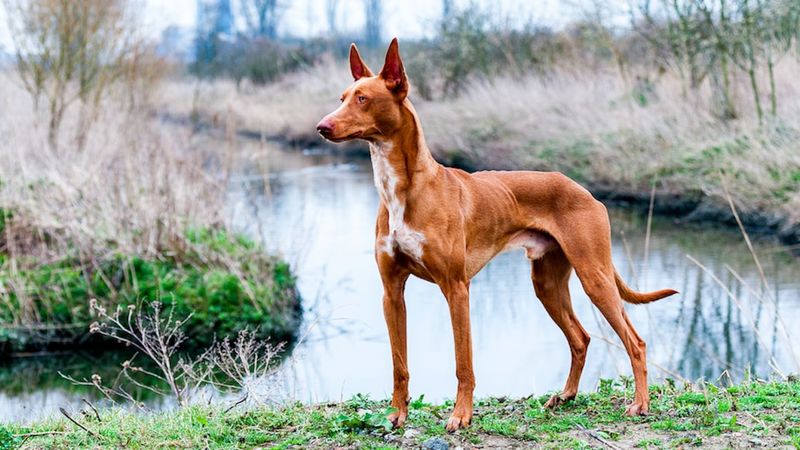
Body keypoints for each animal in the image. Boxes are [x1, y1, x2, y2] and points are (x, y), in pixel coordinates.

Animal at [316, 39, 680, 432]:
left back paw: (640, 404)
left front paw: (461, 415)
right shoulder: (391, 291)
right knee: (580, 337)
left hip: (594, 275)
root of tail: (584, 190)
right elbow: (400, 363)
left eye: (363, 99)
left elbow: (463, 363)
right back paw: (566, 395)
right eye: (342, 97)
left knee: (635, 341)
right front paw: (397, 414)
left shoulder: (456, 288)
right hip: (547, 283)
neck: (403, 190)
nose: (321, 126)